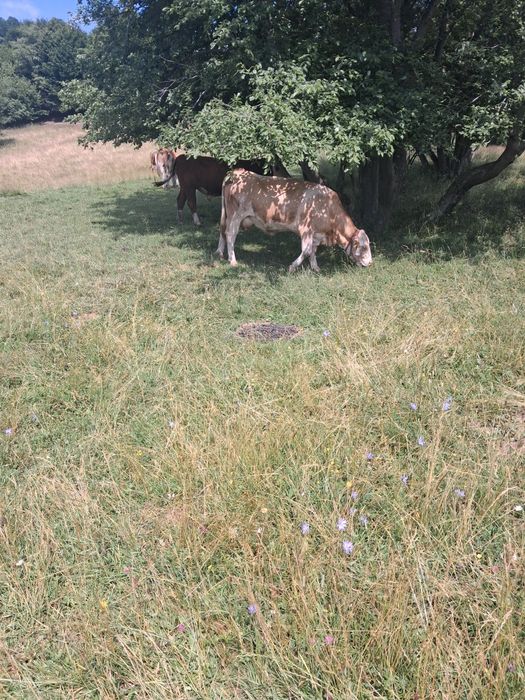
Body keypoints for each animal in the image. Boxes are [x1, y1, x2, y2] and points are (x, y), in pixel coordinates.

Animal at [218, 169, 372, 272]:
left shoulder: (316, 233)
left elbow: (313, 250)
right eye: (364, 247)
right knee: (230, 235)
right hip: (235, 216)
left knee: (223, 232)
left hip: (229, 216)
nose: (371, 263)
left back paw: (220, 253)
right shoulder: (306, 229)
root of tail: (237, 172)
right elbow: (307, 250)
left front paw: (315, 268)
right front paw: (292, 266)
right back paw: (233, 260)